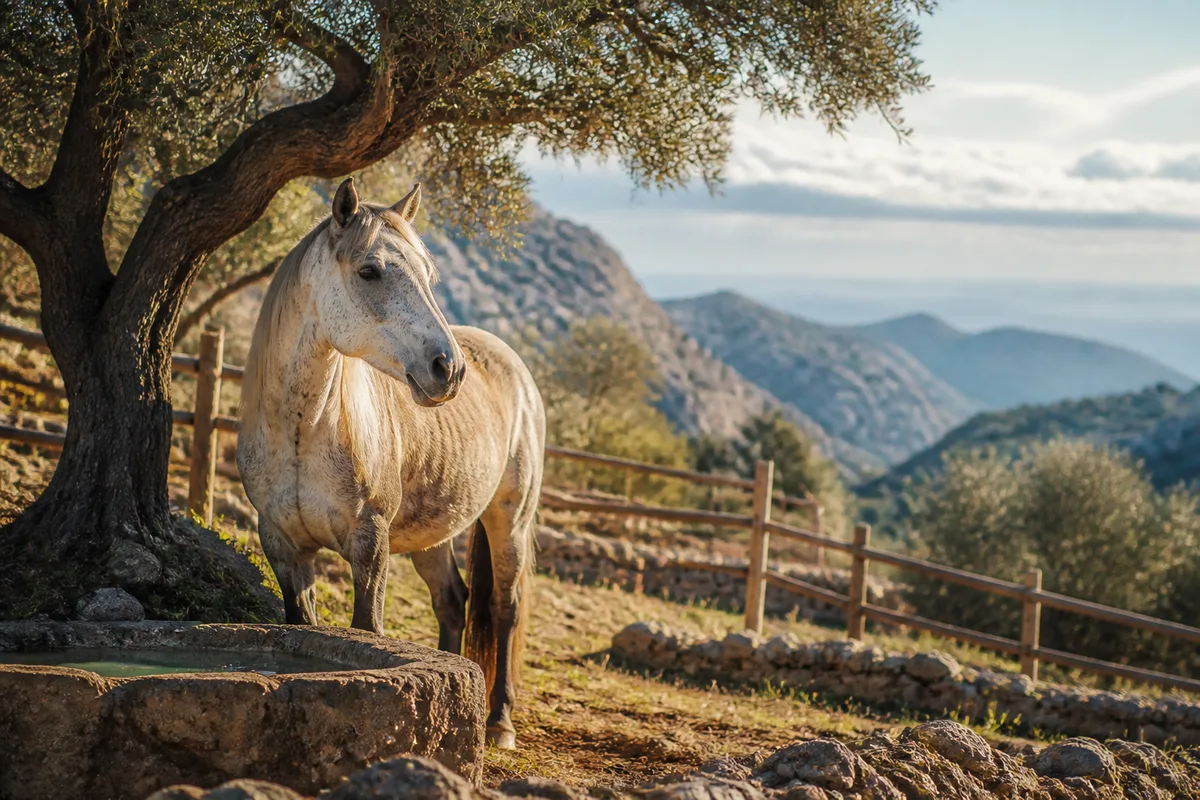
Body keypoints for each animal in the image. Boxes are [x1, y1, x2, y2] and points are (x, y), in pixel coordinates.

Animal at [236, 177, 545, 749]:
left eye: (430, 276)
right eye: (369, 271)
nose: (449, 369)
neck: (302, 433)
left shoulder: (369, 542)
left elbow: (367, 629)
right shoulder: (283, 545)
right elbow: (299, 624)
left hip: (509, 521)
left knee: (504, 607)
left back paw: (499, 723)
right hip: (433, 535)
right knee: (453, 600)